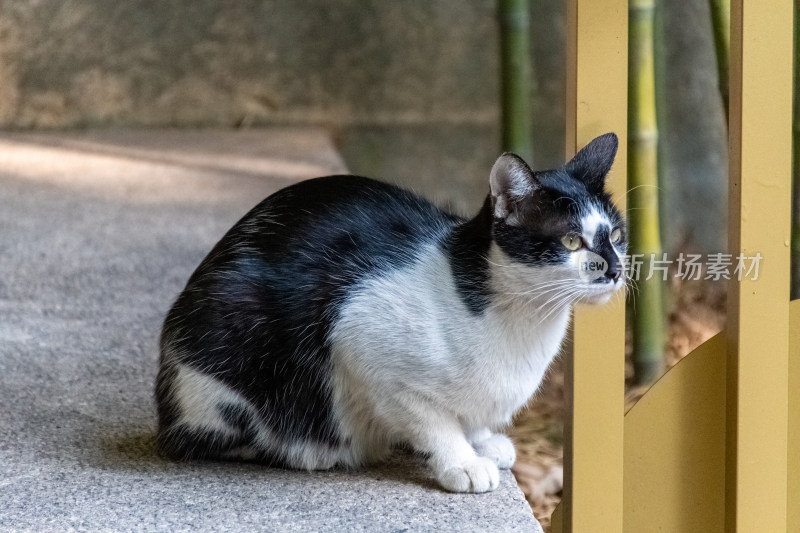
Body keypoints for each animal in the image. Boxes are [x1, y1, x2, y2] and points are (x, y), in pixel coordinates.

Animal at [155, 131, 624, 492]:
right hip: (230, 335)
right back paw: (308, 450)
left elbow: (470, 415)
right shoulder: (365, 346)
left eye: (616, 235)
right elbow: (433, 421)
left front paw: (482, 440)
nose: (616, 269)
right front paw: (462, 461)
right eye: (570, 241)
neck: (523, 324)